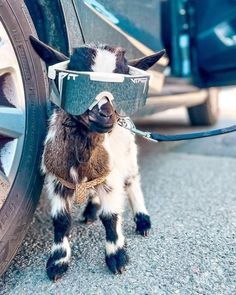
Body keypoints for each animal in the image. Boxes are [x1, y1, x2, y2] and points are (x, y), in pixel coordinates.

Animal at [30, 37, 164, 282]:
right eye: (81, 87)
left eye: (123, 88)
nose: (105, 115)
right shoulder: (57, 180)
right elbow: (60, 220)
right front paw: (58, 261)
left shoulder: (110, 176)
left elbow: (110, 217)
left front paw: (116, 256)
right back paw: (91, 209)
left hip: (127, 156)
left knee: (132, 183)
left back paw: (142, 220)